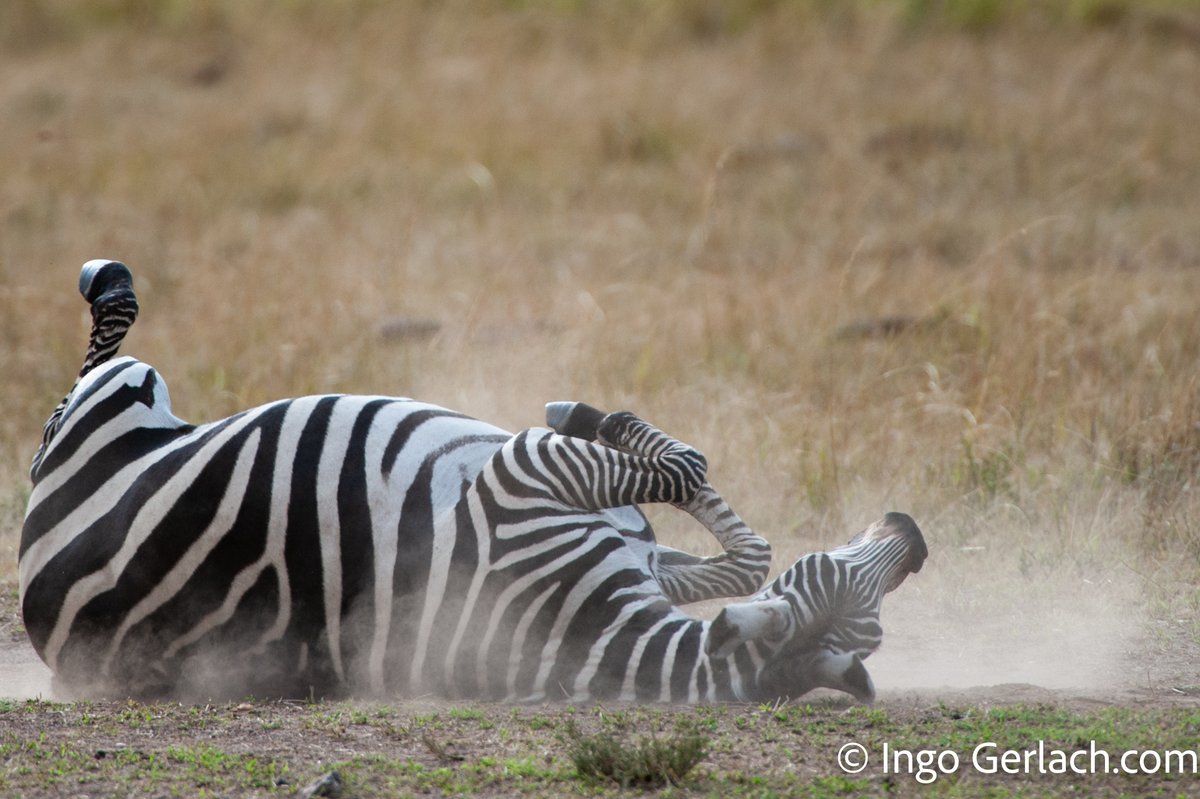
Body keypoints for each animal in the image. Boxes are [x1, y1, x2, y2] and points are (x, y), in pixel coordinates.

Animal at [20, 260, 927, 702]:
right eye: (847, 582)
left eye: (871, 618)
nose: (914, 536)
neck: (587, 626)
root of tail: (54, 634)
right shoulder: (546, 481)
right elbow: (723, 527)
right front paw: (589, 411)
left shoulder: (533, 473)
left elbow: (700, 493)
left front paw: (589, 411)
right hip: (124, 399)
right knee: (101, 349)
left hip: (116, 402)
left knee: (99, 353)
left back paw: (106, 276)